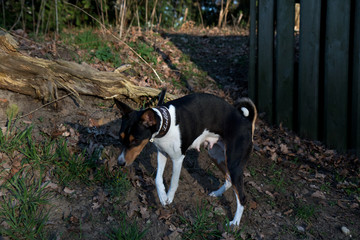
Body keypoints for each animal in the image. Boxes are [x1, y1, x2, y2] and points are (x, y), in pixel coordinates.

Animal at [115, 91, 256, 226]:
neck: (167, 124)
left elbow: (173, 181)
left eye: (136, 140)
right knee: (228, 180)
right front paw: (162, 196)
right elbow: (157, 179)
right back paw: (217, 193)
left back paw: (235, 223)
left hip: (234, 164)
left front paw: (169, 198)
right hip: (216, 155)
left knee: (242, 197)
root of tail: (247, 122)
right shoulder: (162, 153)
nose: (120, 163)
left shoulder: (178, 158)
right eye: (120, 137)